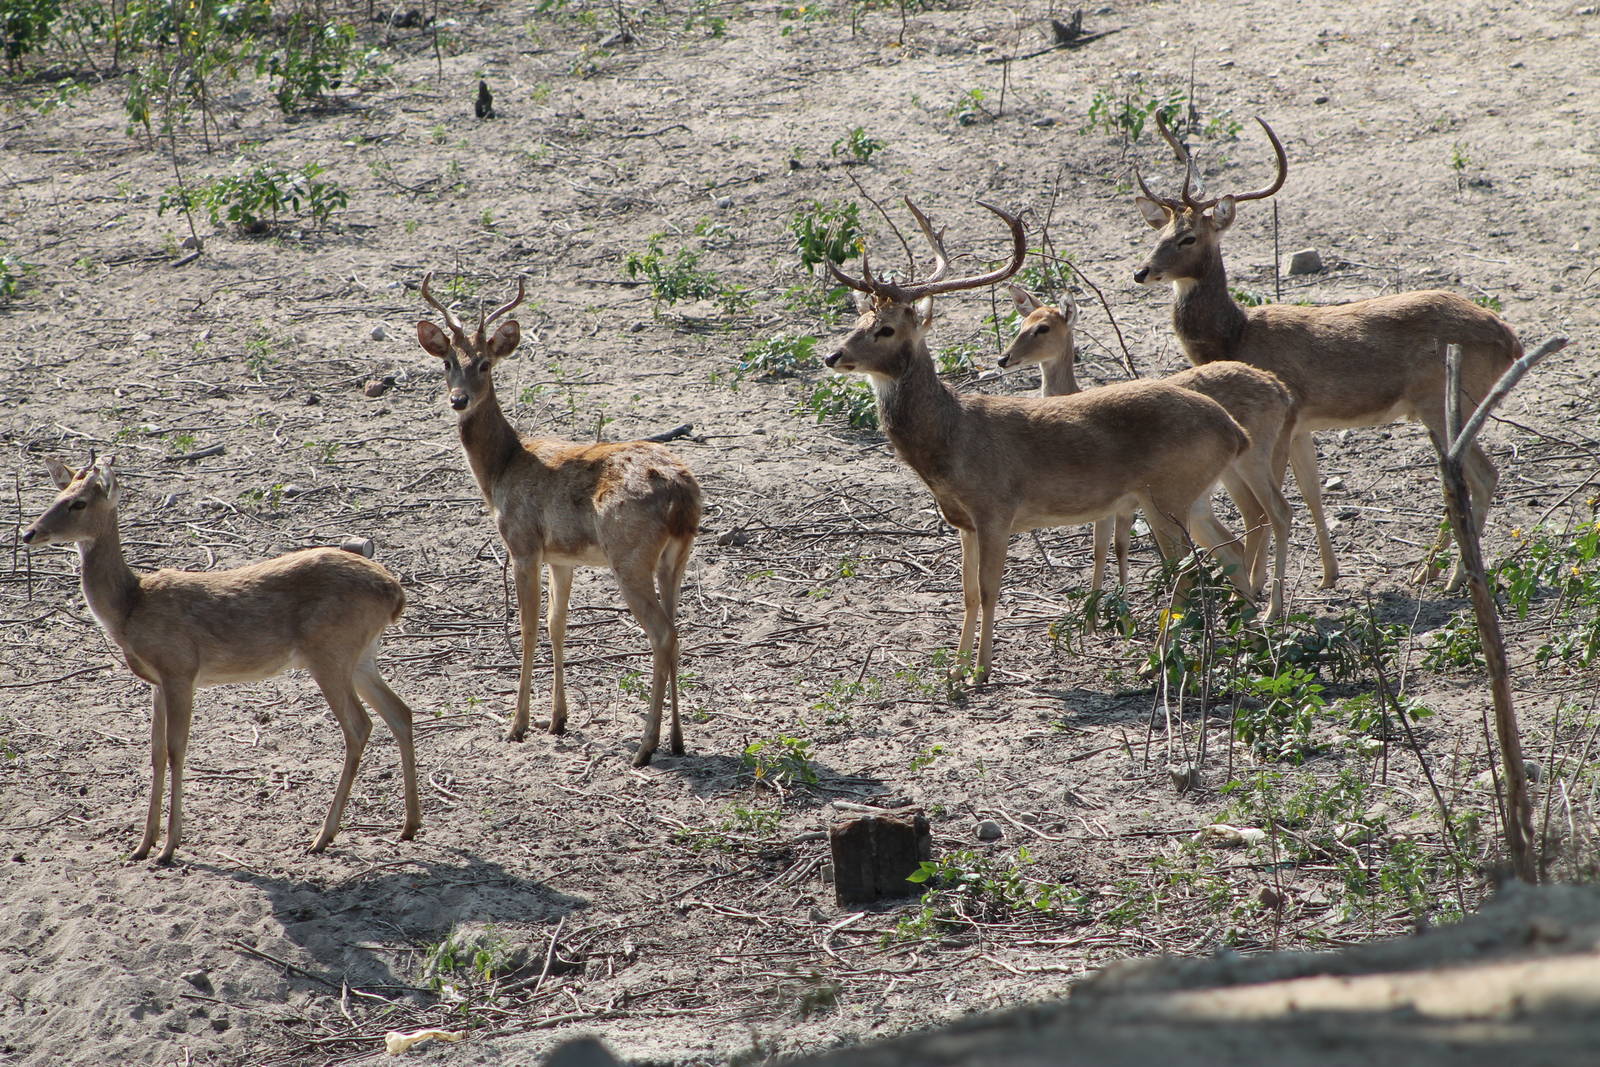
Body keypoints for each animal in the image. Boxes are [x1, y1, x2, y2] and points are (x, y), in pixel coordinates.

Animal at [21, 455, 421, 864]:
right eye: (58, 495)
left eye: (79, 503)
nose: (29, 533)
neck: (130, 606)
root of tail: (395, 592)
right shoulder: (157, 682)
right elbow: (155, 753)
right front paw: (142, 845)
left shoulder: (180, 669)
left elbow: (176, 750)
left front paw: (168, 847)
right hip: (361, 657)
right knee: (400, 712)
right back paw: (408, 825)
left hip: (330, 653)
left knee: (359, 725)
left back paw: (323, 836)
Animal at [415, 273, 701, 767]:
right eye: (448, 362)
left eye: (485, 364)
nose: (458, 399)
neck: (504, 467)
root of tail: (682, 496)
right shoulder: (562, 557)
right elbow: (556, 625)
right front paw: (557, 720)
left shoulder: (523, 544)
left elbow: (528, 627)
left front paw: (517, 725)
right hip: (676, 558)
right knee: (677, 628)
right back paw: (678, 740)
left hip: (630, 554)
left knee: (662, 633)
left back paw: (645, 747)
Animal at [822, 200, 1256, 678]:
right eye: (858, 319)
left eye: (885, 329)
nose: (833, 355)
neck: (952, 440)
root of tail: (1233, 430)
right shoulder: (963, 522)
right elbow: (966, 593)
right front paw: (955, 670)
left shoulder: (996, 508)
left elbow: (990, 589)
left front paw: (980, 671)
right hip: (1193, 495)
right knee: (1232, 550)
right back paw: (1253, 640)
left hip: (1166, 494)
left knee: (1186, 570)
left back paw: (1156, 661)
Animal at [998, 284, 1296, 621]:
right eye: (1022, 323)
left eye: (1043, 327)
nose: (1004, 358)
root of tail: (1279, 389)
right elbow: (1107, 548)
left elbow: (1113, 547)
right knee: (1250, 519)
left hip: (1252, 461)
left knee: (1276, 511)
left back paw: (1269, 609)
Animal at [1132, 113, 1523, 592]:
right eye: (1159, 232)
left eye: (1188, 238)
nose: (1141, 271)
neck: (1236, 335)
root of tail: (1509, 338)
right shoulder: (1301, 425)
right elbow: (1312, 491)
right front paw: (1328, 574)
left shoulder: (1279, 423)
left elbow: (1264, 508)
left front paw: (1261, 584)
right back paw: (1429, 571)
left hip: (1446, 401)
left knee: (1483, 475)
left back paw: (1452, 579)